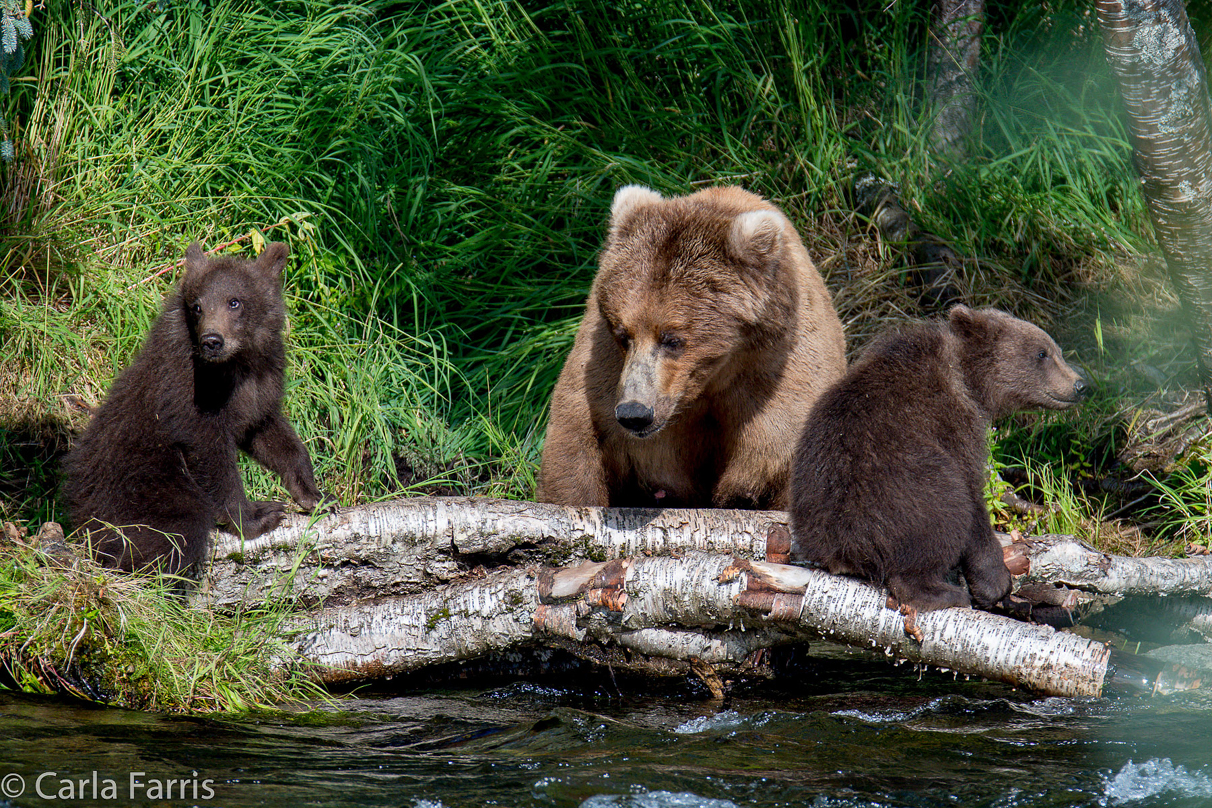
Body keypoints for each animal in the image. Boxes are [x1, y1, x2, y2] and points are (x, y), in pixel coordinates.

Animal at [540, 186, 843, 508]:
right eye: (623, 334)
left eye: (672, 338)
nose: (635, 413)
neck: (706, 383)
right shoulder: (603, 368)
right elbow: (576, 447)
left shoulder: (779, 378)